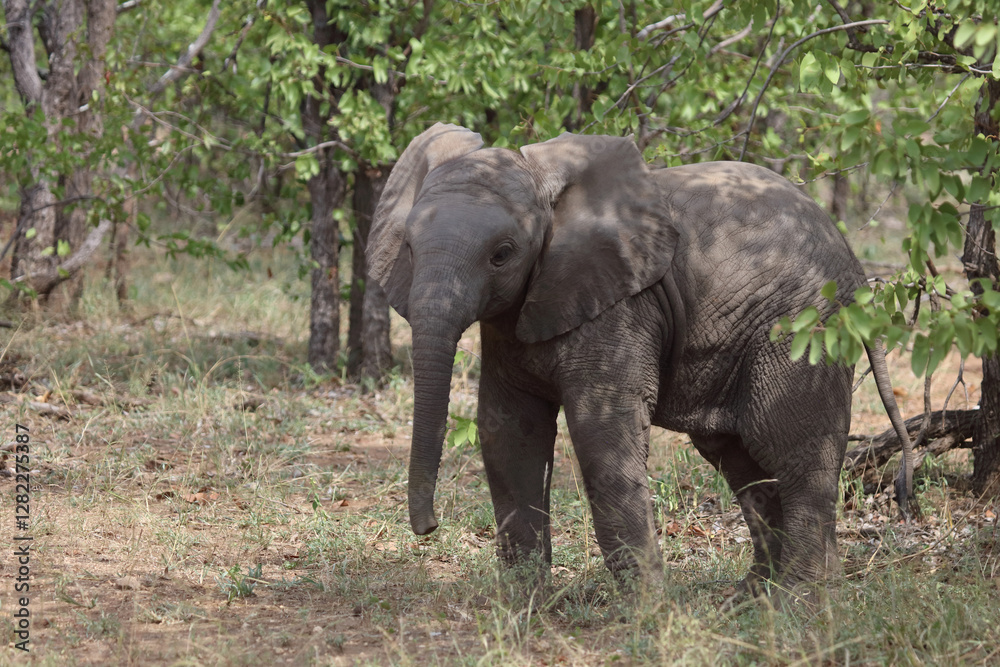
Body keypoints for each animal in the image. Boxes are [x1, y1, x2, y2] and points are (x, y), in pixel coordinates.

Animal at [366, 123, 914, 590]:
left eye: (502, 254)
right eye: (409, 248)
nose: (428, 528)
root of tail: (856, 271)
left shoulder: (622, 306)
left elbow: (599, 429)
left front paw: (646, 611)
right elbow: (508, 431)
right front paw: (526, 604)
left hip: (804, 325)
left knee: (793, 451)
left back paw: (799, 600)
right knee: (742, 461)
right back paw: (756, 599)